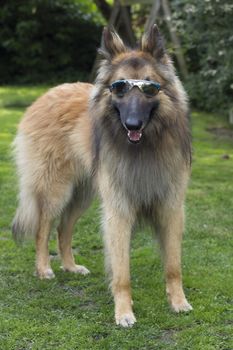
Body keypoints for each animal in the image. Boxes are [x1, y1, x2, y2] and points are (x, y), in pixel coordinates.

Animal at [11, 25, 192, 328]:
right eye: (119, 88)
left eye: (150, 88)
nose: (132, 124)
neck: (145, 148)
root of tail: (47, 94)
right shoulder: (118, 211)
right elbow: (122, 272)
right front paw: (124, 312)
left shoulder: (171, 208)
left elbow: (173, 265)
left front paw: (178, 302)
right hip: (57, 190)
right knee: (43, 227)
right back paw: (44, 269)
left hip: (82, 195)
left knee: (64, 228)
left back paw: (70, 266)